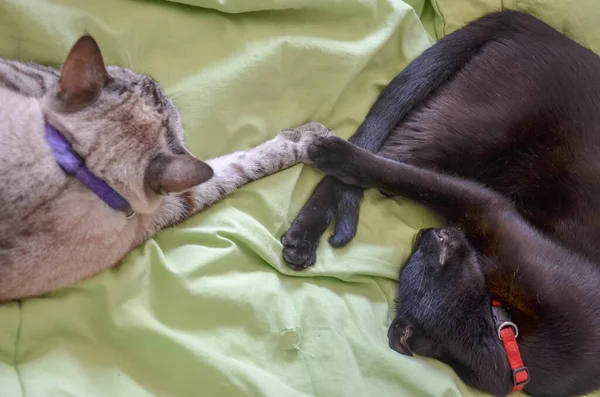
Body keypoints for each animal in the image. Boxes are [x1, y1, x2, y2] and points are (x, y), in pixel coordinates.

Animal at [284, 9, 600, 396]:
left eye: (428, 257)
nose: (430, 232)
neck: (510, 343)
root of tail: (533, 23)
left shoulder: (488, 209)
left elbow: (414, 183)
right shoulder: (489, 206)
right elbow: (412, 181)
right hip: (468, 130)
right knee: (376, 157)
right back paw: (307, 217)